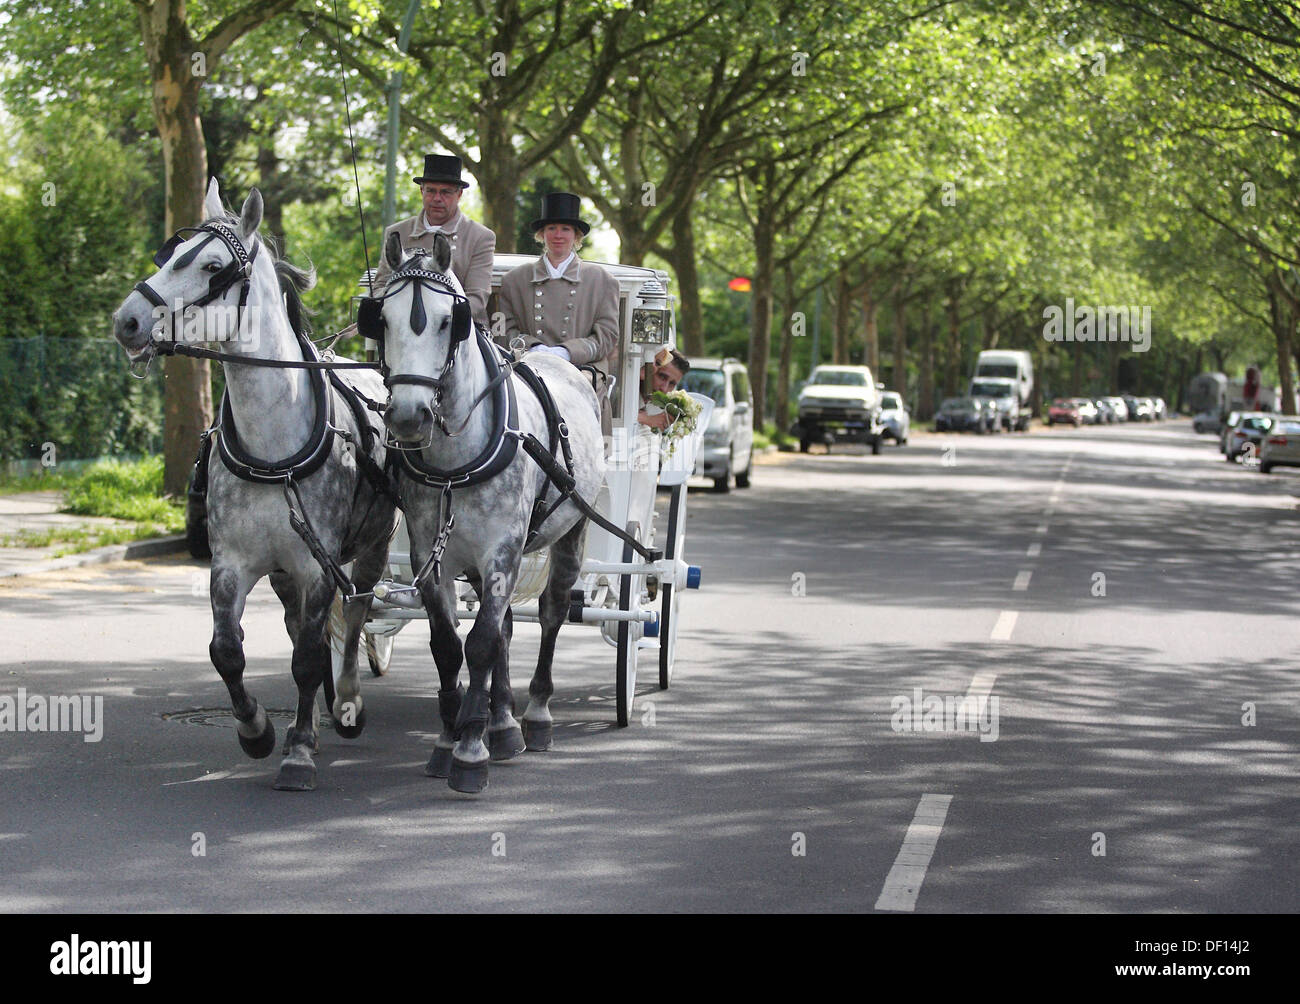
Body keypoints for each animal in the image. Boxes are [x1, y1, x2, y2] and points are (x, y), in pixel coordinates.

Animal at [110, 180, 395, 790]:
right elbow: (227, 652)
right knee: (300, 627)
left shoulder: (318, 564)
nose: (127, 321)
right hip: (285, 569)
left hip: (373, 548)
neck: (273, 443)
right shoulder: (232, 563)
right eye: (168, 254)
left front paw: (300, 749)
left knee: (359, 613)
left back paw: (346, 702)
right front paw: (257, 730)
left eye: (213, 266)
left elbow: (309, 657)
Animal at [369, 231, 605, 795]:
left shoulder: (501, 550)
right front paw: (450, 737)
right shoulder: (433, 557)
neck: (456, 461)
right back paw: (503, 724)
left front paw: (470, 751)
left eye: (447, 320)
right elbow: (449, 645)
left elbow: (478, 645)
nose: (408, 417)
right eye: (380, 318)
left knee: (550, 614)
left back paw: (534, 716)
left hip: (571, 531)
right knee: (504, 629)